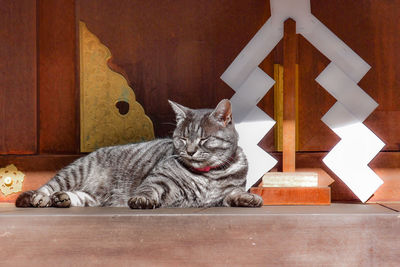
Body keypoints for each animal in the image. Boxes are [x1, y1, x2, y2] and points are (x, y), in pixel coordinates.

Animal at [15, 100, 264, 209]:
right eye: (183, 139)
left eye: (204, 139)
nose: (190, 150)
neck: (208, 175)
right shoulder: (159, 179)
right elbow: (147, 189)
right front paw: (142, 200)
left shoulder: (226, 193)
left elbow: (234, 194)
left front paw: (249, 198)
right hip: (72, 174)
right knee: (47, 187)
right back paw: (40, 198)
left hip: (92, 196)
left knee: (78, 197)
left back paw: (63, 199)